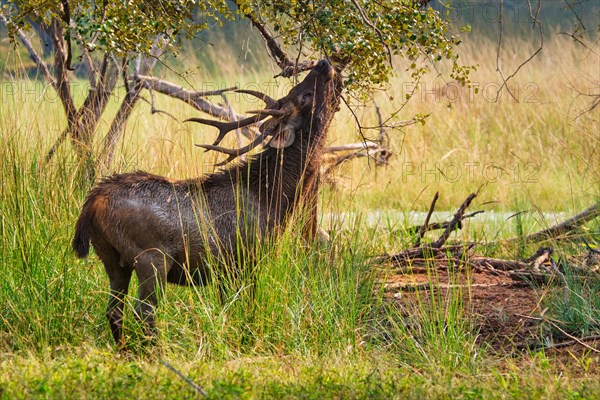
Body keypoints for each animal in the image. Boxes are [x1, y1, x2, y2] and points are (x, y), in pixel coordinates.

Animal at [71, 59, 342, 346]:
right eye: (304, 95)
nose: (324, 63)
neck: (274, 199)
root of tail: (92, 202)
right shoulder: (246, 259)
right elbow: (245, 307)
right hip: (151, 258)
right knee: (143, 311)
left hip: (111, 259)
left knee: (114, 310)